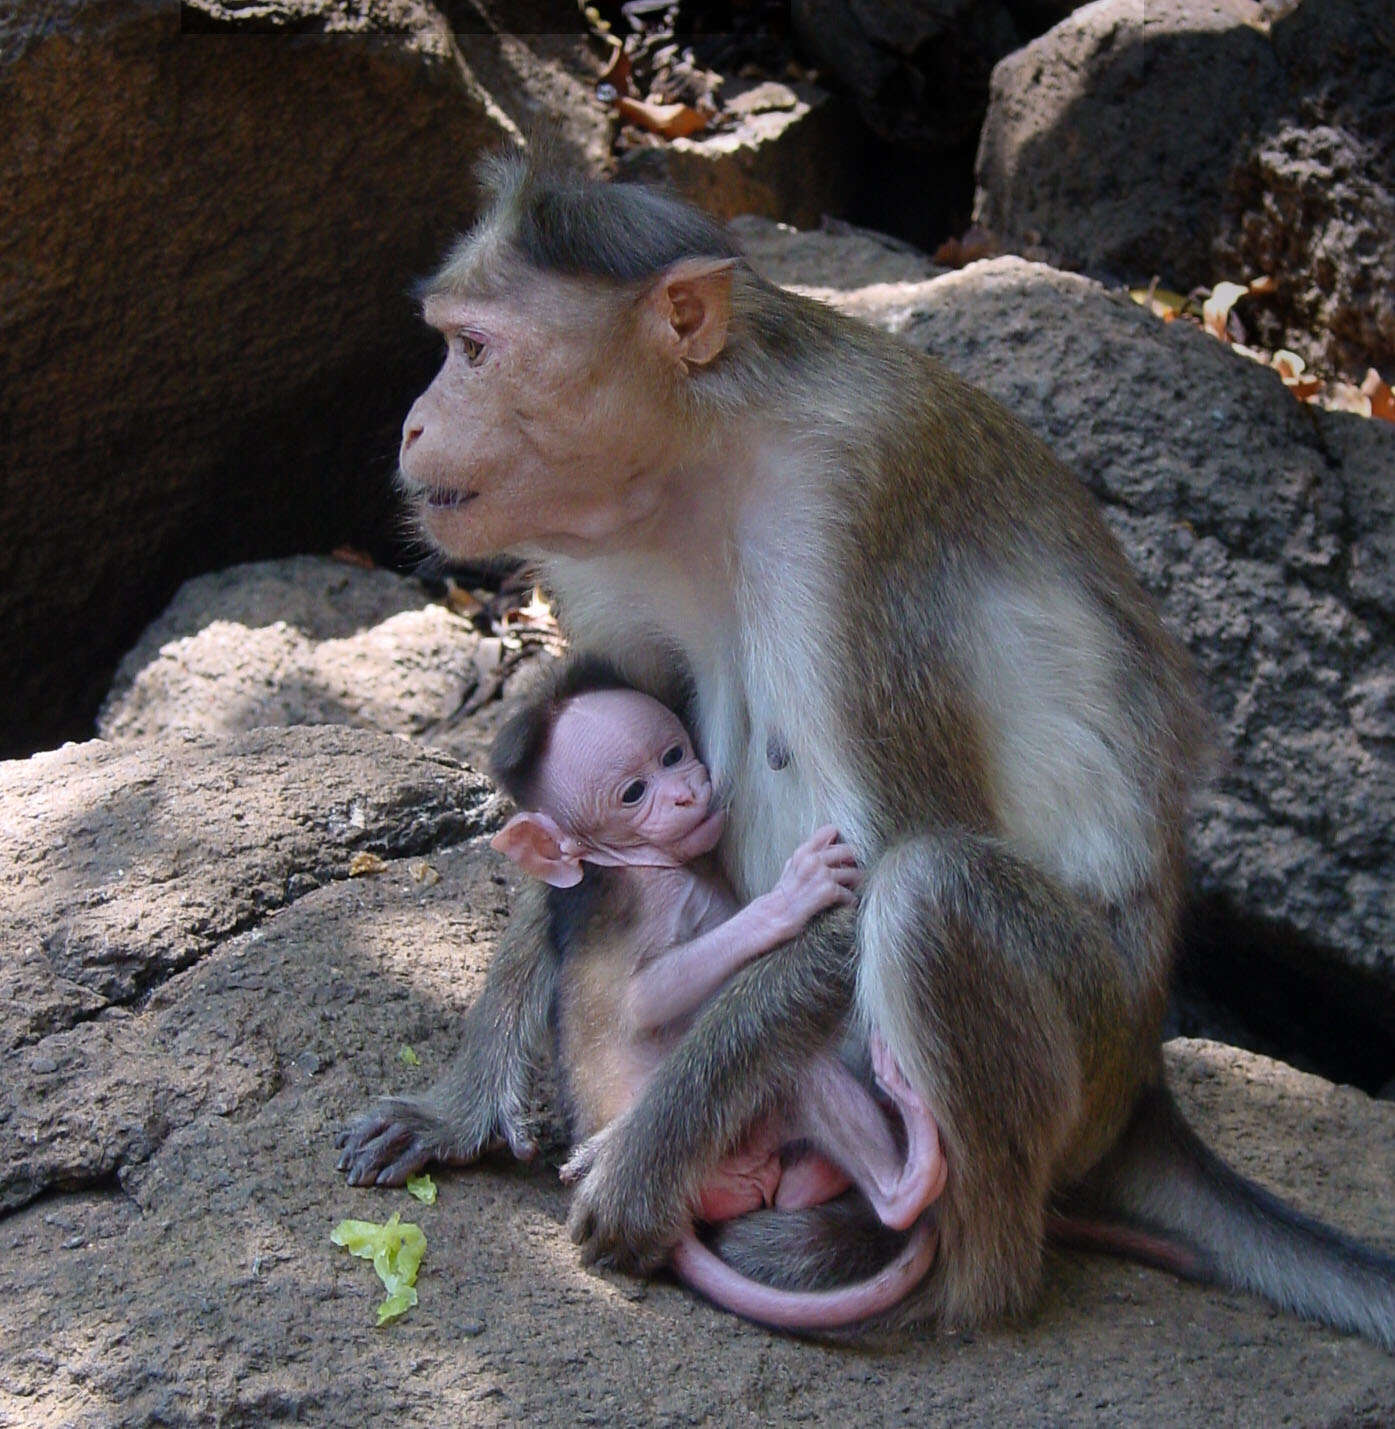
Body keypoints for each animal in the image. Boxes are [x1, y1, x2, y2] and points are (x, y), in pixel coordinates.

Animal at [494, 657, 949, 1326]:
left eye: (673, 754)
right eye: (634, 793)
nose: (688, 790)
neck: (641, 861)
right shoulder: (650, 898)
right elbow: (647, 997)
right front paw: (790, 899)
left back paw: (832, 1179)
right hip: (718, 1156)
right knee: (792, 1069)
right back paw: (904, 1183)